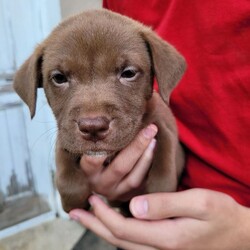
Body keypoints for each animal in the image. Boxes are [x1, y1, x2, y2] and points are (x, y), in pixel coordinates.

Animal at [13, 9, 186, 213]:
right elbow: (65, 175)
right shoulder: (65, 136)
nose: (93, 127)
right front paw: (73, 202)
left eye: (128, 73)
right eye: (59, 78)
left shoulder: (164, 127)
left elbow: (164, 170)